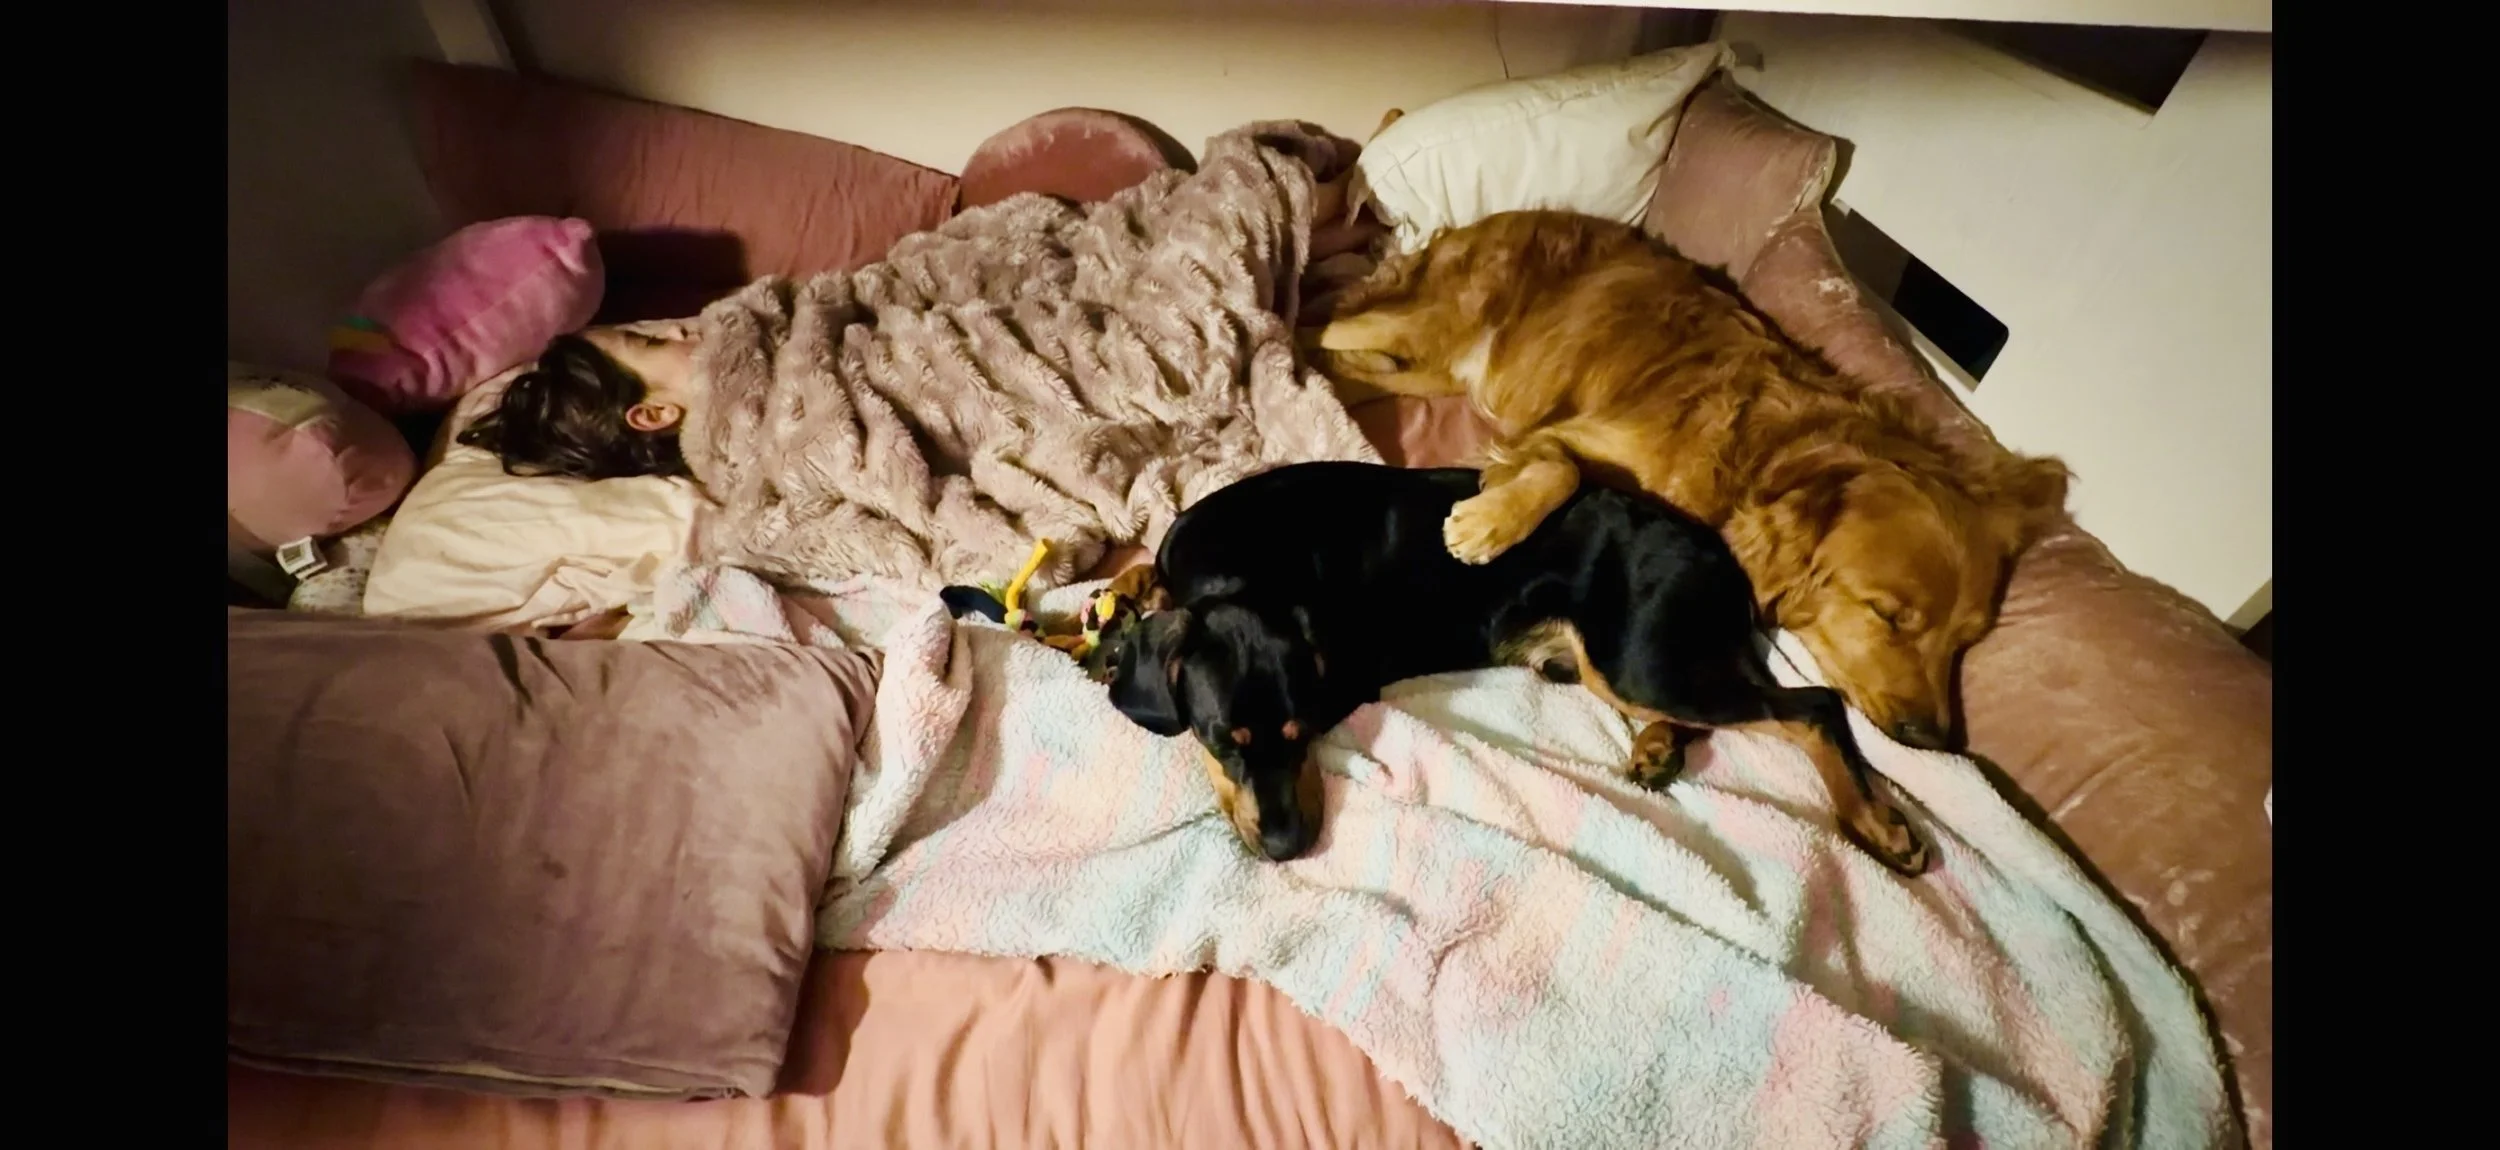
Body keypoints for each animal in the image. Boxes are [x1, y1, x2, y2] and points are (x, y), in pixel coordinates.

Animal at [1100, 460, 1930, 875]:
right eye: (1221, 741)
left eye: (1301, 734)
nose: (1287, 849)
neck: (1242, 570)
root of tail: (1720, 558)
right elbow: (1139, 578)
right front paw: (1115, 613)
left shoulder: (1345, 680)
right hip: (1631, 660)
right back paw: (1658, 748)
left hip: (1639, 657)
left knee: (1811, 705)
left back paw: (1879, 827)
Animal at [1310, 210, 2071, 752]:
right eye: (1886, 615)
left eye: (1966, 640)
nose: (1935, 740)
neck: (1763, 459)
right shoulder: (1566, 436)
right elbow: (1561, 468)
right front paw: (1486, 525)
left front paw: (1661, 741)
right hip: (1432, 322)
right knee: (1323, 324)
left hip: (1437, 369)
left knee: (1352, 358)